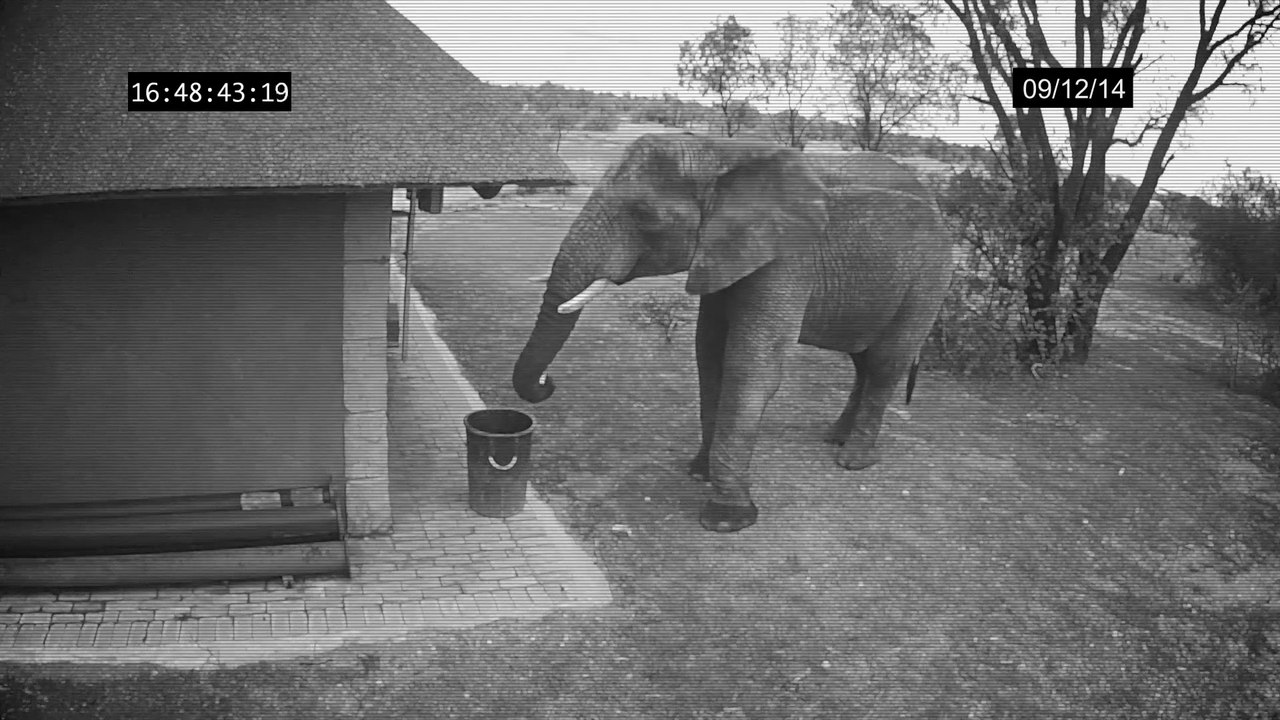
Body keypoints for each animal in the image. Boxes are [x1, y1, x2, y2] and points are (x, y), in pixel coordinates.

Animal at [512, 132, 955, 533]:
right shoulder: (722, 257)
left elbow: (748, 369)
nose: (547, 382)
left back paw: (852, 461)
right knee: (862, 360)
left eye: (645, 215)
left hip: (928, 282)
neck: (723, 153)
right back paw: (835, 439)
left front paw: (727, 519)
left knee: (884, 362)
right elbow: (709, 357)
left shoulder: (786, 261)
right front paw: (698, 473)